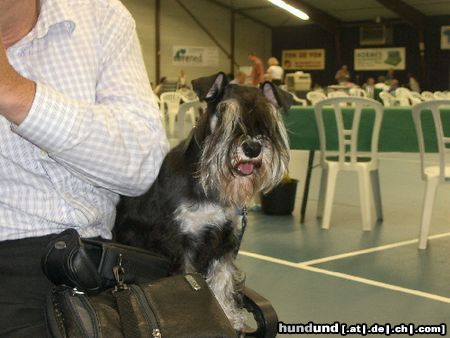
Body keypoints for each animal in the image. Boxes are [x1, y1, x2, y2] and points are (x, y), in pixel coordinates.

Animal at [114, 72, 292, 332]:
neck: (209, 187)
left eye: (267, 119)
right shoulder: (181, 243)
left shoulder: (225, 241)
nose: (252, 148)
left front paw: (228, 316)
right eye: (225, 114)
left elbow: (222, 281)